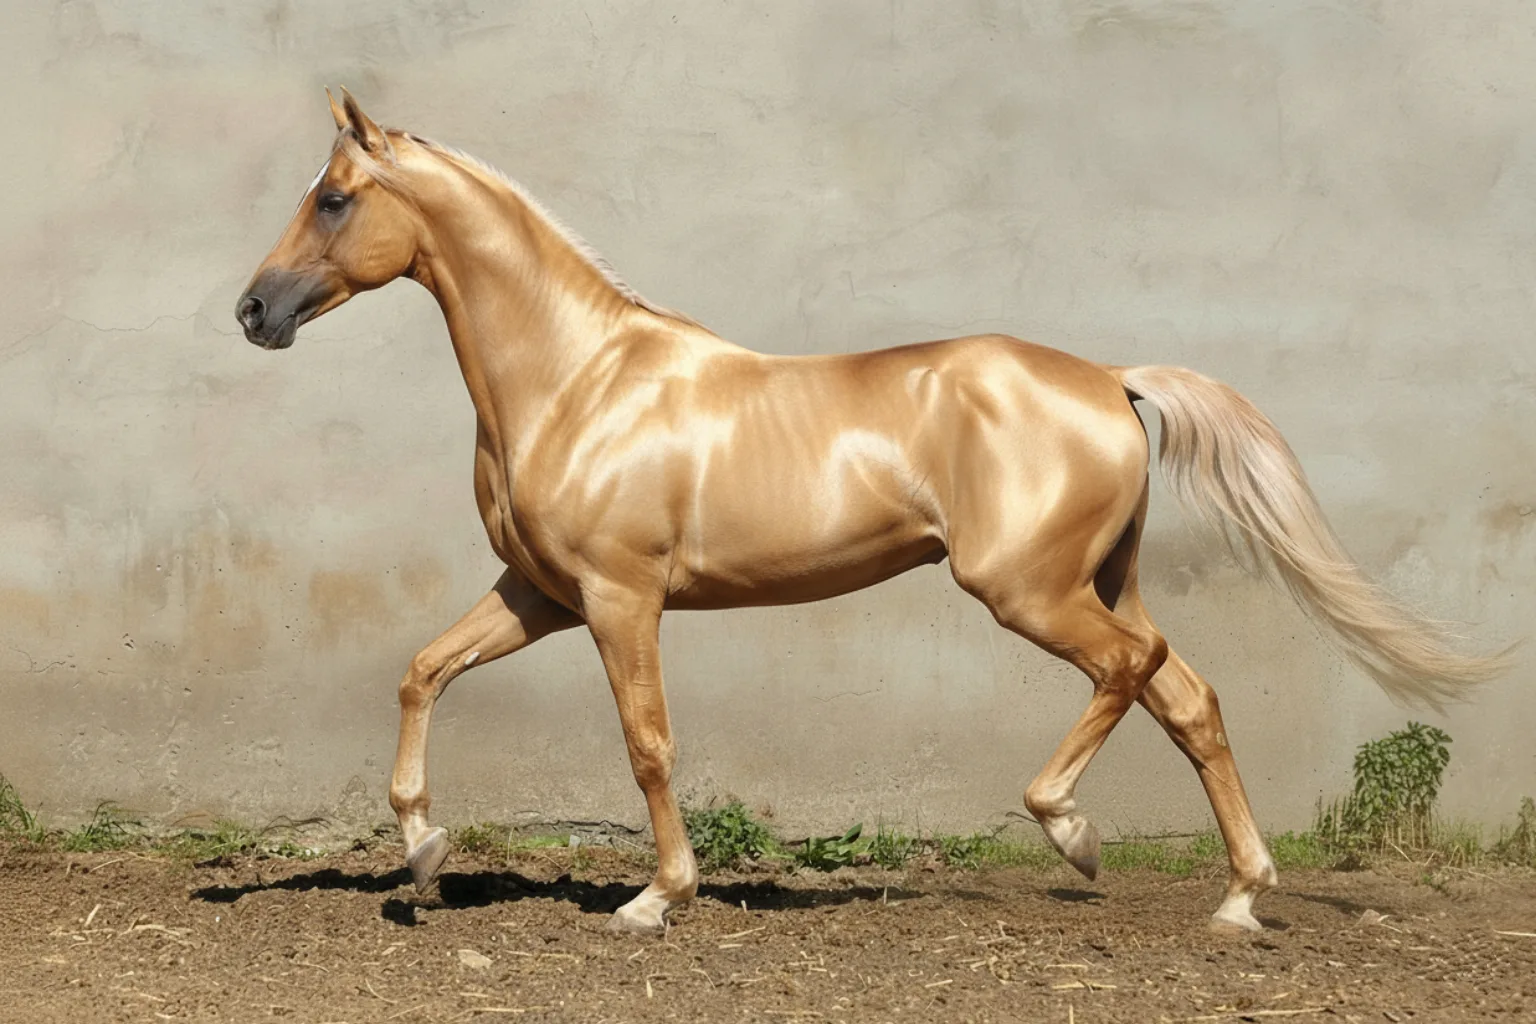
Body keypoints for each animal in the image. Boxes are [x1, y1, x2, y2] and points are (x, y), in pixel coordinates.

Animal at [235, 89, 1509, 935]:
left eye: (334, 200)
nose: (254, 311)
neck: (578, 379)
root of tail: (1112, 379)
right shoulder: (541, 594)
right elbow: (423, 671)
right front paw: (423, 848)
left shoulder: (619, 597)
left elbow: (647, 741)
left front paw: (655, 898)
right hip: (1100, 578)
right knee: (1186, 695)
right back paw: (1240, 901)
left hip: (1026, 589)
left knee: (1132, 669)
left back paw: (1074, 832)